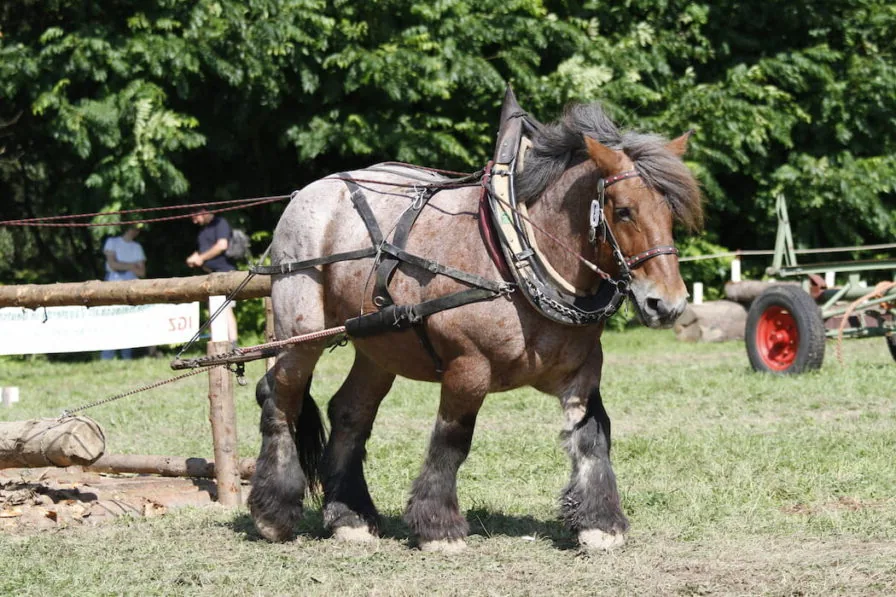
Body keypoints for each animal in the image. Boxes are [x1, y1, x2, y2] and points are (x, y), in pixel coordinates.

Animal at [248, 92, 703, 552]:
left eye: (670, 213)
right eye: (624, 211)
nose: (667, 304)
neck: (516, 255)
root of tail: (311, 191)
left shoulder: (582, 371)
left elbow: (593, 435)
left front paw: (600, 522)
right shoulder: (468, 367)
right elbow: (452, 438)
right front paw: (438, 527)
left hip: (379, 347)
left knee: (349, 413)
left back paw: (350, 517)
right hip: (300, 334)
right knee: (280, 399)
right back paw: (273, 513)